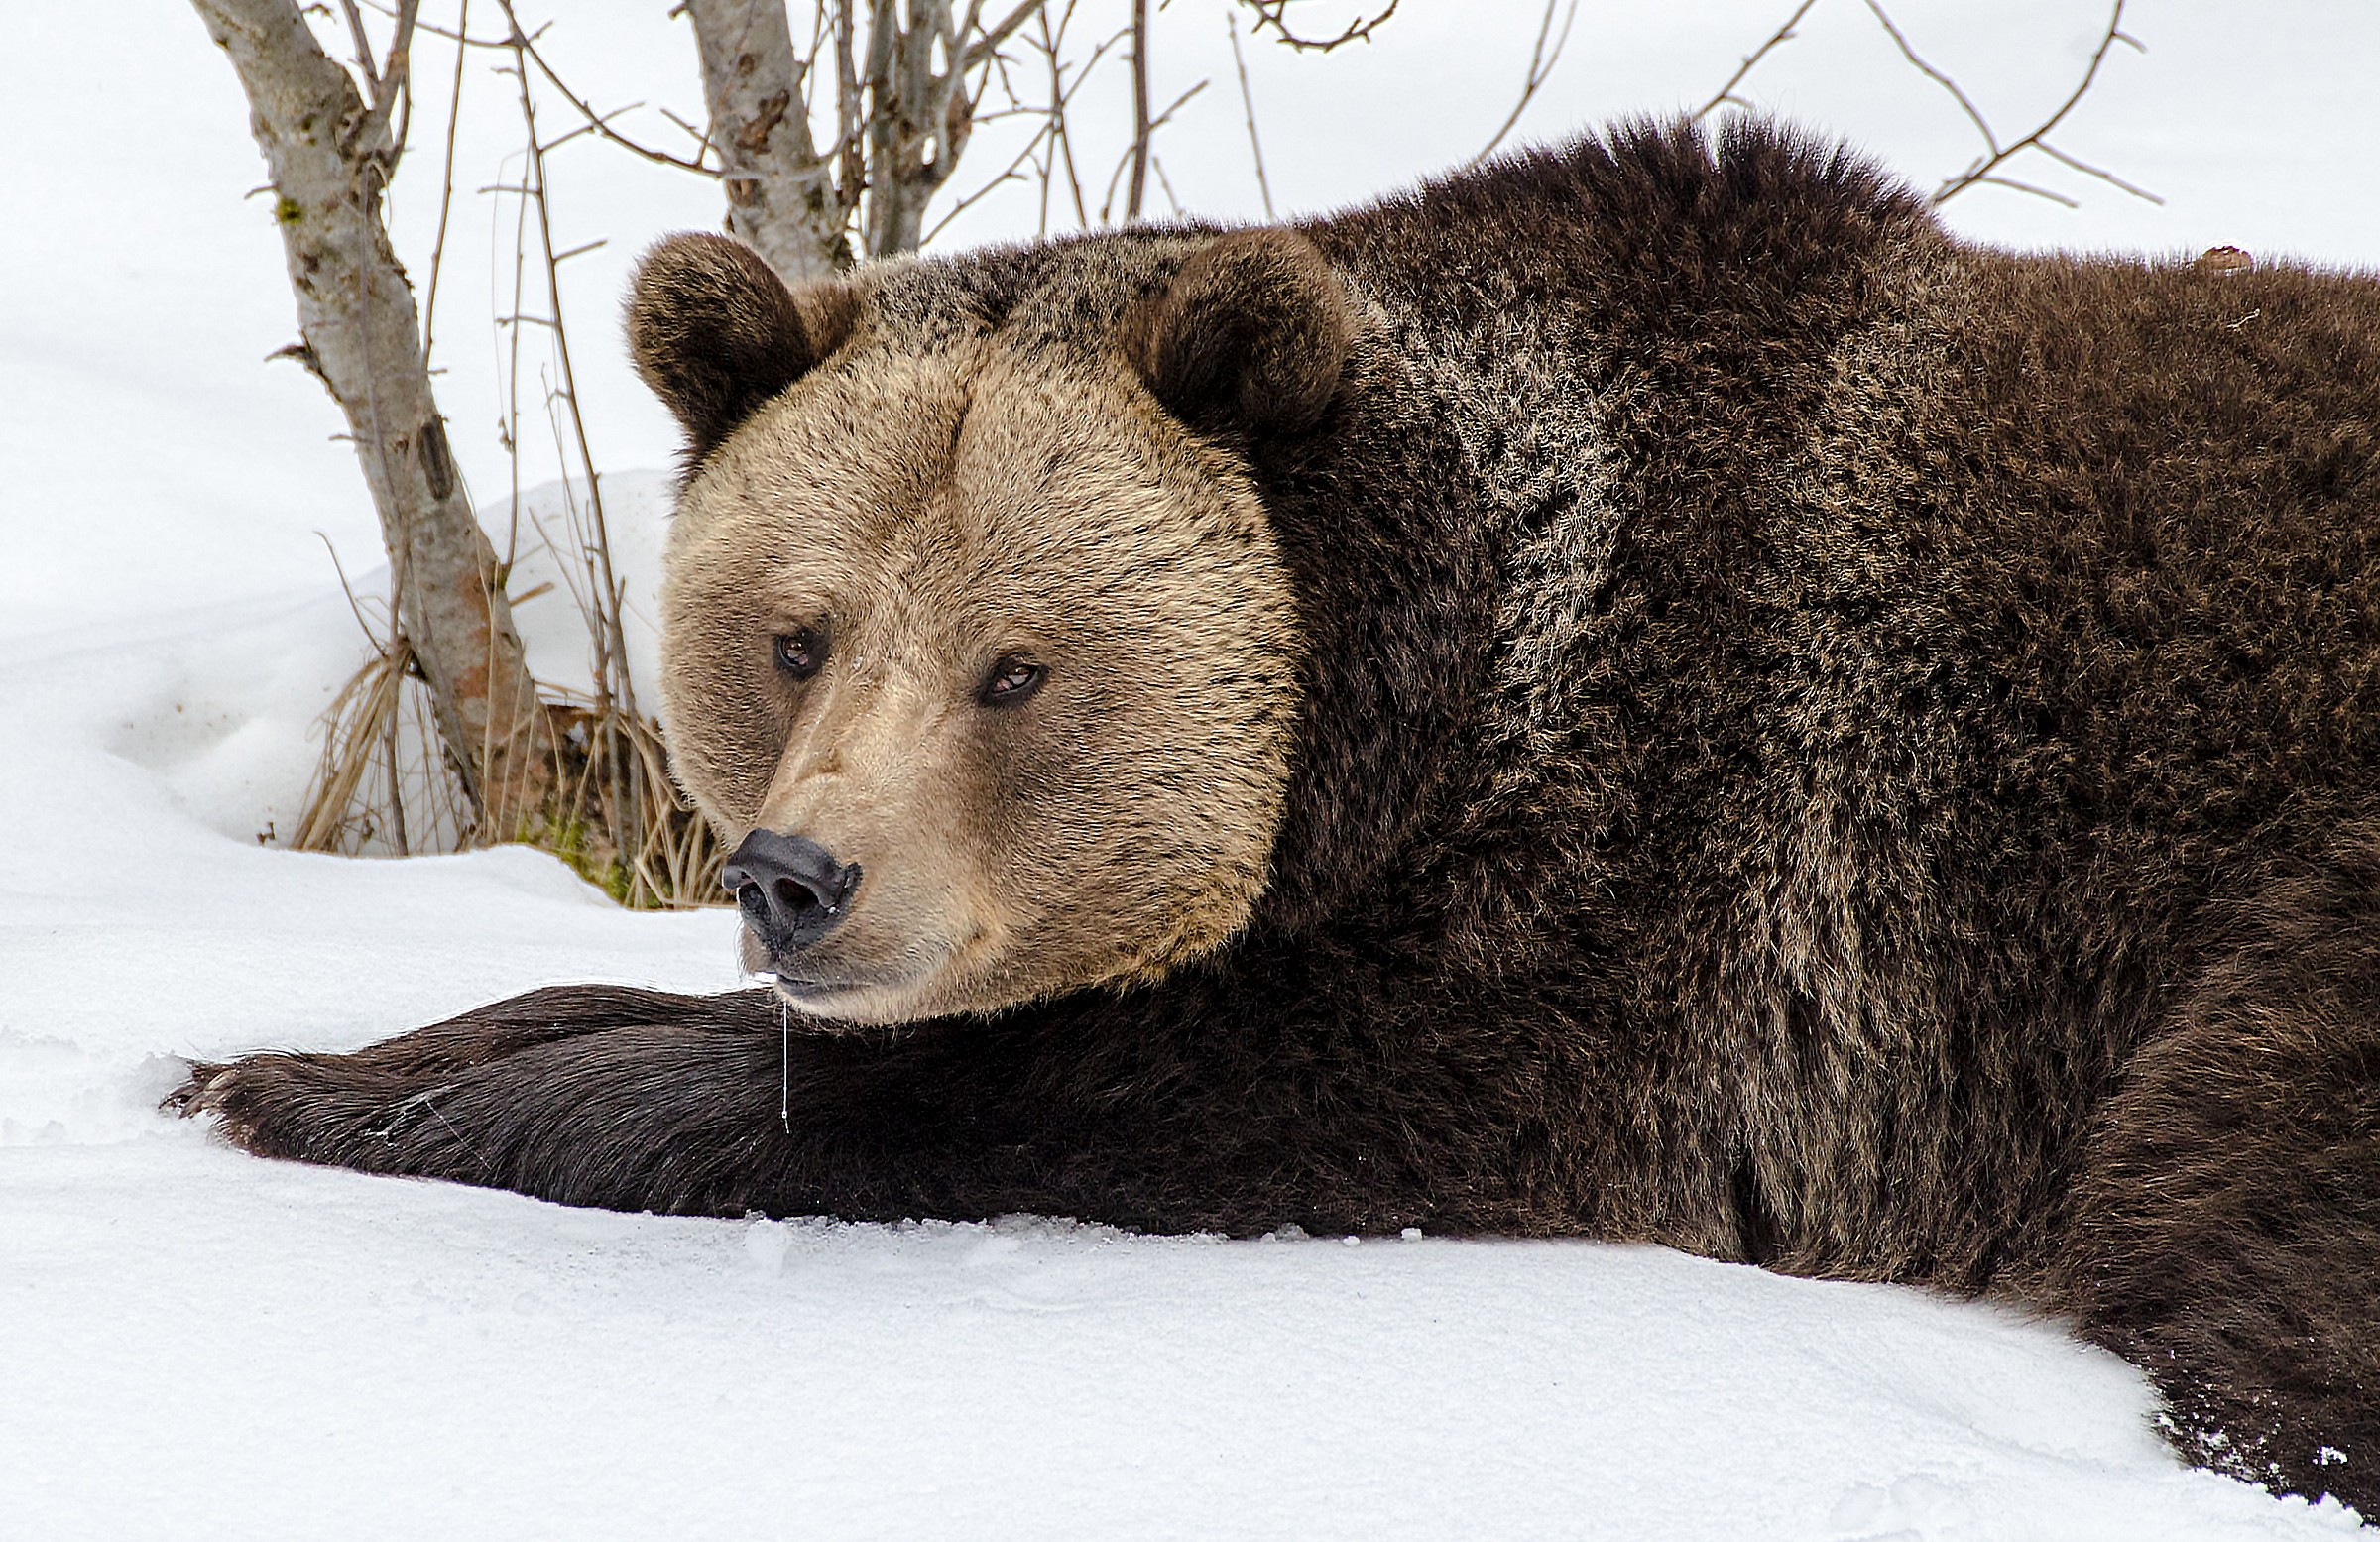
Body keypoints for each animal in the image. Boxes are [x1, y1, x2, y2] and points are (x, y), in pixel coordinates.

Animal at [180, 118, 2380, 1518]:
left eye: (1016, 669)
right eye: (794, 637)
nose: (801, 880)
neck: (1421, 705)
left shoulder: (1671, 901)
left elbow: (1142, 1100)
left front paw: (372, 1107)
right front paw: (287, 1057)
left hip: (2293, 927)